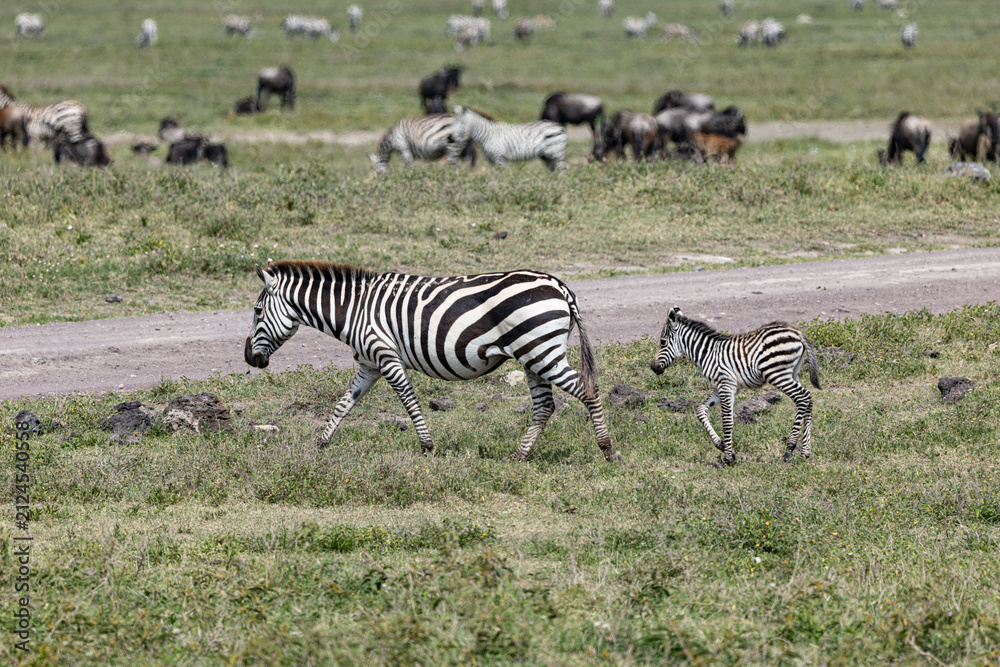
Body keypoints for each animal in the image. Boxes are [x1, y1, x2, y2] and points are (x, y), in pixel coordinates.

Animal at [245, 261, 621, 462]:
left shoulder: (385, 355)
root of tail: (558, 284)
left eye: (258, 311)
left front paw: (427, 447)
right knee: (544, 406)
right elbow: (343, 404)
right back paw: (518, 456)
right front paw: (320, 444)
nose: (249, 358)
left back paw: (607, 450)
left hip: (542, 351)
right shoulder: (368, 364)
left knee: (587, 390)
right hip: (534, 354)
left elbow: (409, 401)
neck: (354, 310)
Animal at [650, 307, 820, 465]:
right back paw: (805, 452)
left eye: (662, 342)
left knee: (802, 398)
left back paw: (789, 450)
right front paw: (723, 446)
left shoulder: (725, 385)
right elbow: (700, 410)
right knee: (808, 398)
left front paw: (727, 458)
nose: (653, 367)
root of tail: (797, 332)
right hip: (792, 373)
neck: (707, 353)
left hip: (777, 374)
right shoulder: (721, 387)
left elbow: (727, 421)